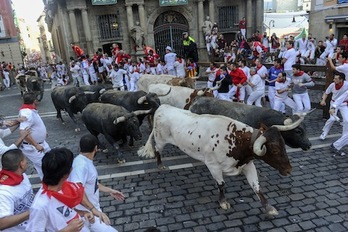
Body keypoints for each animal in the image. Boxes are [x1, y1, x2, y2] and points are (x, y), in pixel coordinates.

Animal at [137, 104, 294, 215]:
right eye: (275, 149)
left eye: (283, 145)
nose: (289, 170)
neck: (235, 140)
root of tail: (163, 106)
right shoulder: (213, 166)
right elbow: (221, 184)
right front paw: (223, 202)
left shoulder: (248, 165)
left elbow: (257, 187)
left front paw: (269, 207)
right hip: (160, 139)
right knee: (157, 150)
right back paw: (160, 165)